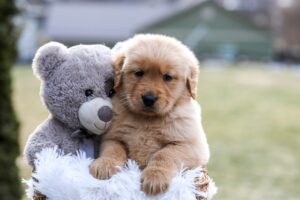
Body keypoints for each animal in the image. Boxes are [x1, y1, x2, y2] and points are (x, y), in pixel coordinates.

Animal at [90, 34, 210, 195]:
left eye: (167, 77)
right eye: (139, 73)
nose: (149, 99)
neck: (147, 120)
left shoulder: (191, 146)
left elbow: (165, 154)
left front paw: (155, 177)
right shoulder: (112, 137)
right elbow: (113, 150)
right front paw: (105, 164)